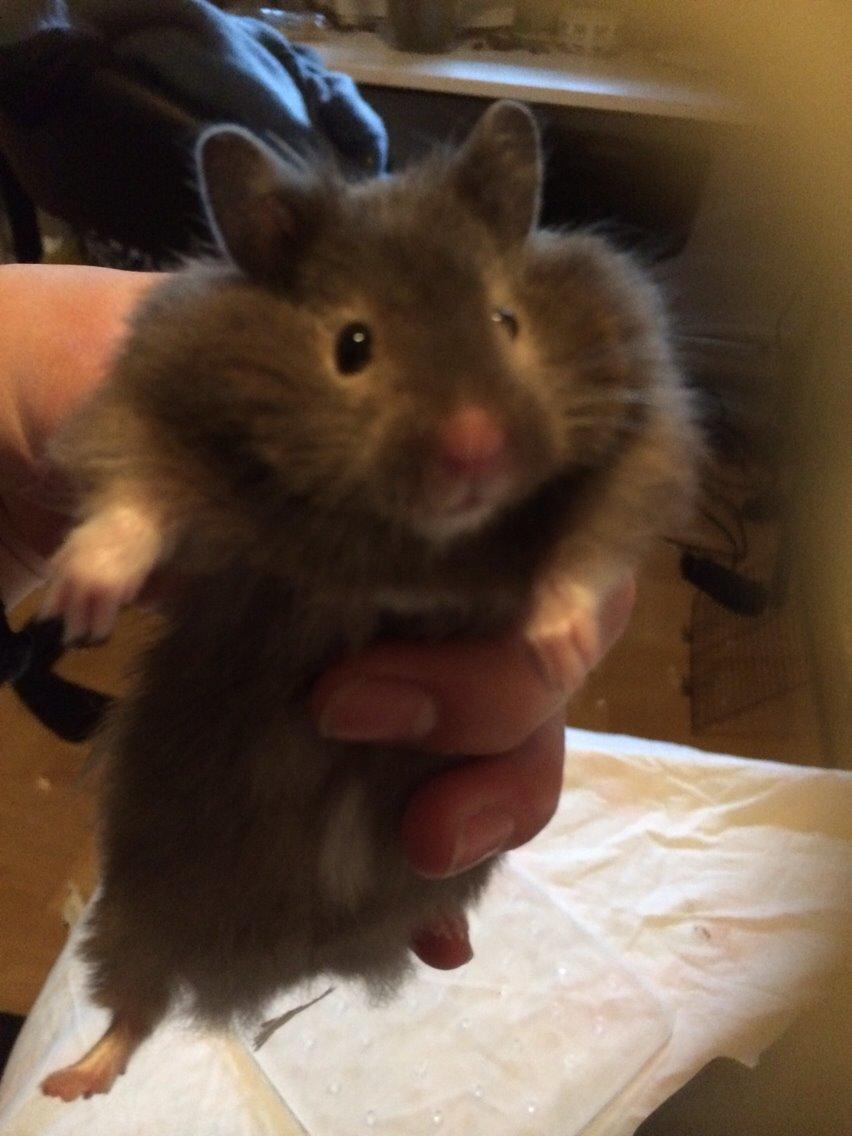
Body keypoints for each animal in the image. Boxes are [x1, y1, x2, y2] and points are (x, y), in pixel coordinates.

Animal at [39, 101, 700, 1100]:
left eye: (507, 320)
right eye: (353, 346)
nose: (475, 450)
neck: (405, 540)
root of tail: (282, 965)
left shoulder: (640, 431)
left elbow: (589, 548)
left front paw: (559, 647)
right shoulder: (148, 403)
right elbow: (133, 498)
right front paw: (79, 603)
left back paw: (445, 934)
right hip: (136, 907)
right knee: (133, 1008)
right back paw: (70, 1081)